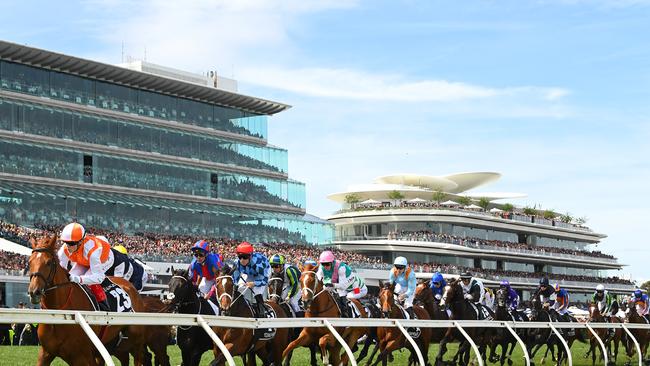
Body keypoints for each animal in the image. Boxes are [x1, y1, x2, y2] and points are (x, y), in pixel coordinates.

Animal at [27, 234, 147, 366]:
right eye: (29, 261)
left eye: (48, 262)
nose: (34, 292)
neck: (60, 313)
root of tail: (130, 286)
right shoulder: (45, 353)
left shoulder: (81, 357)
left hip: (136, 340)